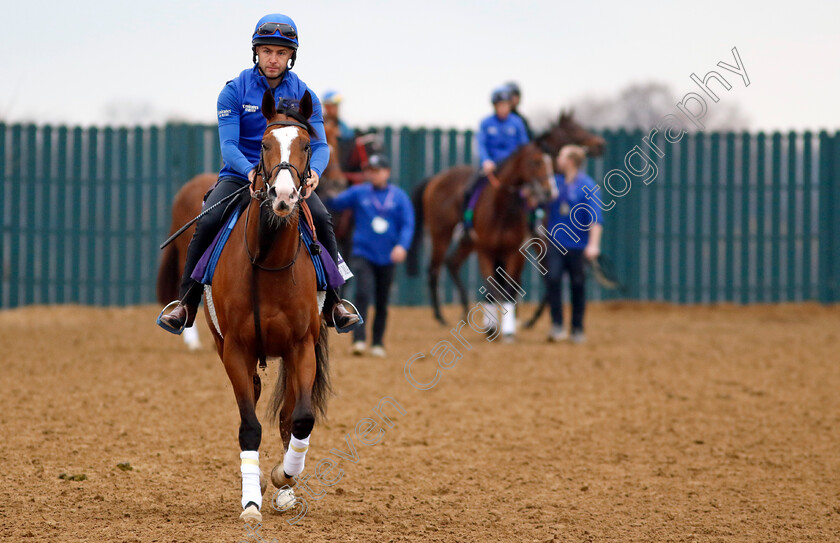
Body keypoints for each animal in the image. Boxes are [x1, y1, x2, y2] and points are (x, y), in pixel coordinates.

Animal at [205, 90, 330, 528]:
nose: (284, 196)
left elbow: (301, 419)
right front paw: (251, 502)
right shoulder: (235, 350)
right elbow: (249, 426)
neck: (268, 261)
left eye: (307, 144)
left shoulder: (301, 346)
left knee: (289, 413)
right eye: (262, 143)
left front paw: (284, 479)